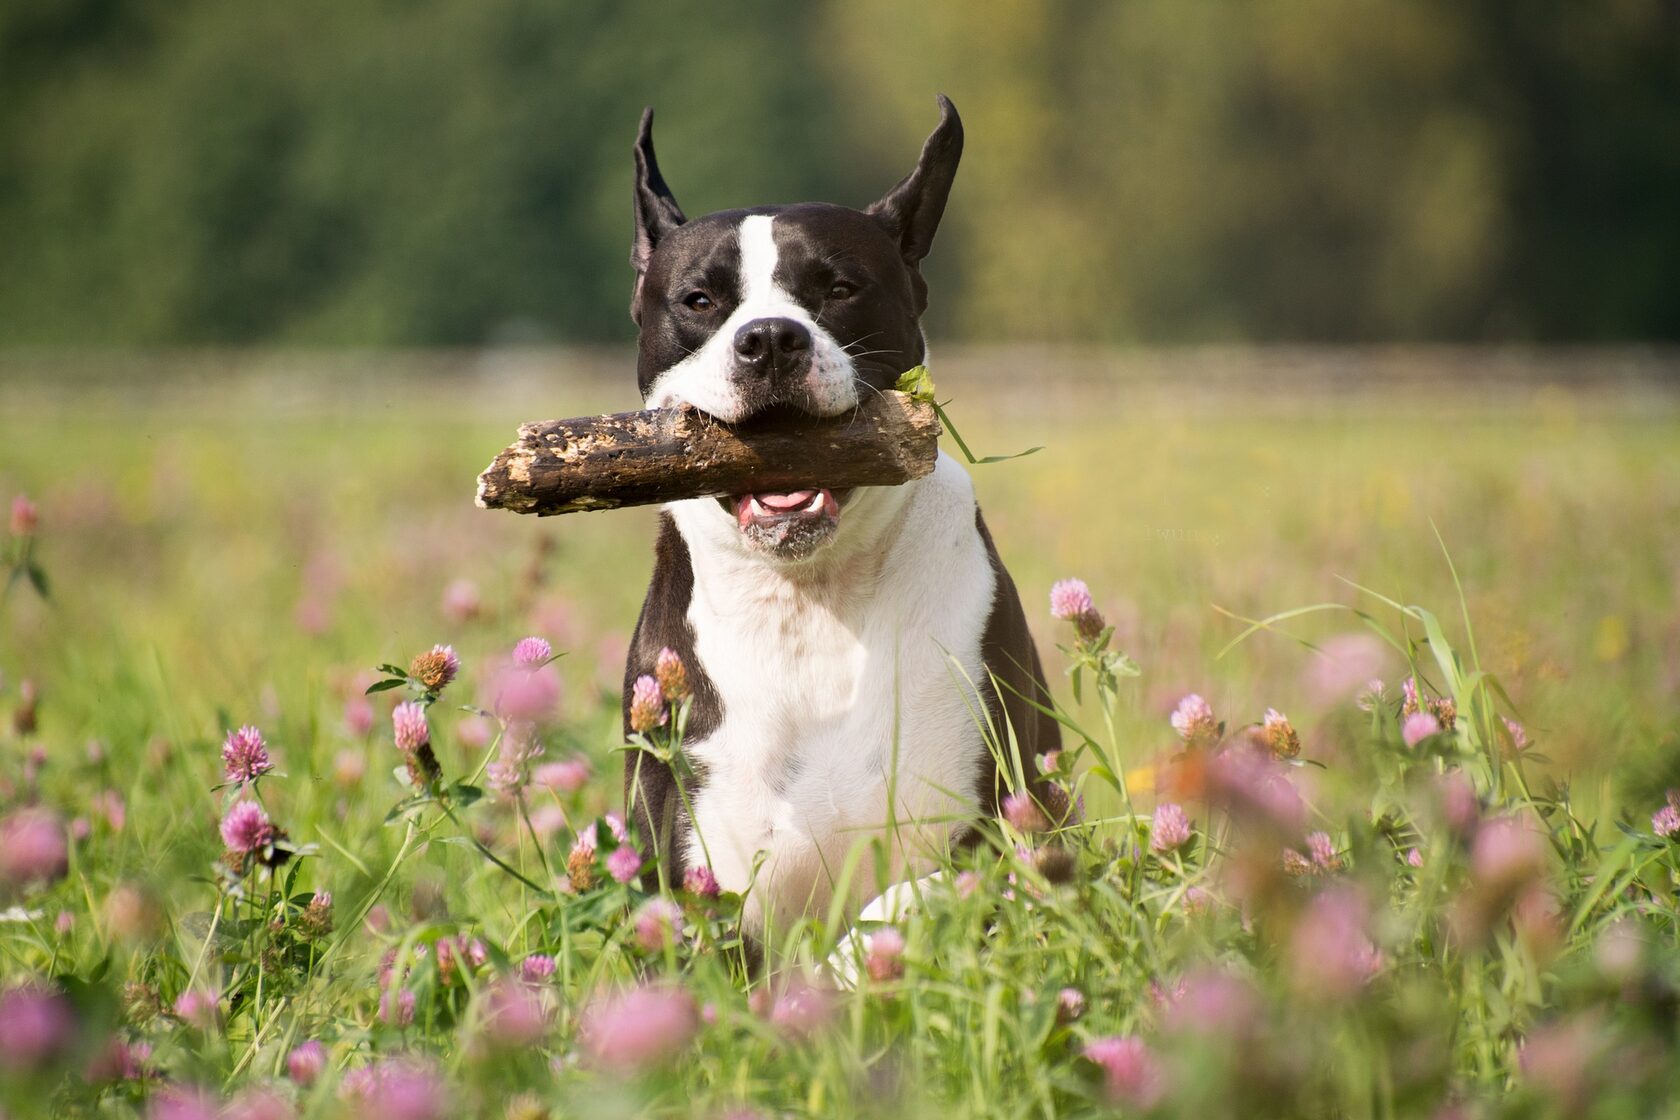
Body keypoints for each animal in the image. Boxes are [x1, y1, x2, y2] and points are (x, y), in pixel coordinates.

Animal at [618, 96, 1061, 940]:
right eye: (699, 301)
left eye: (839, 288)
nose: (769, 339)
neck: (808, 599)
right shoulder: (701, 875)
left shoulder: (993, 840)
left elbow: (896, 910)